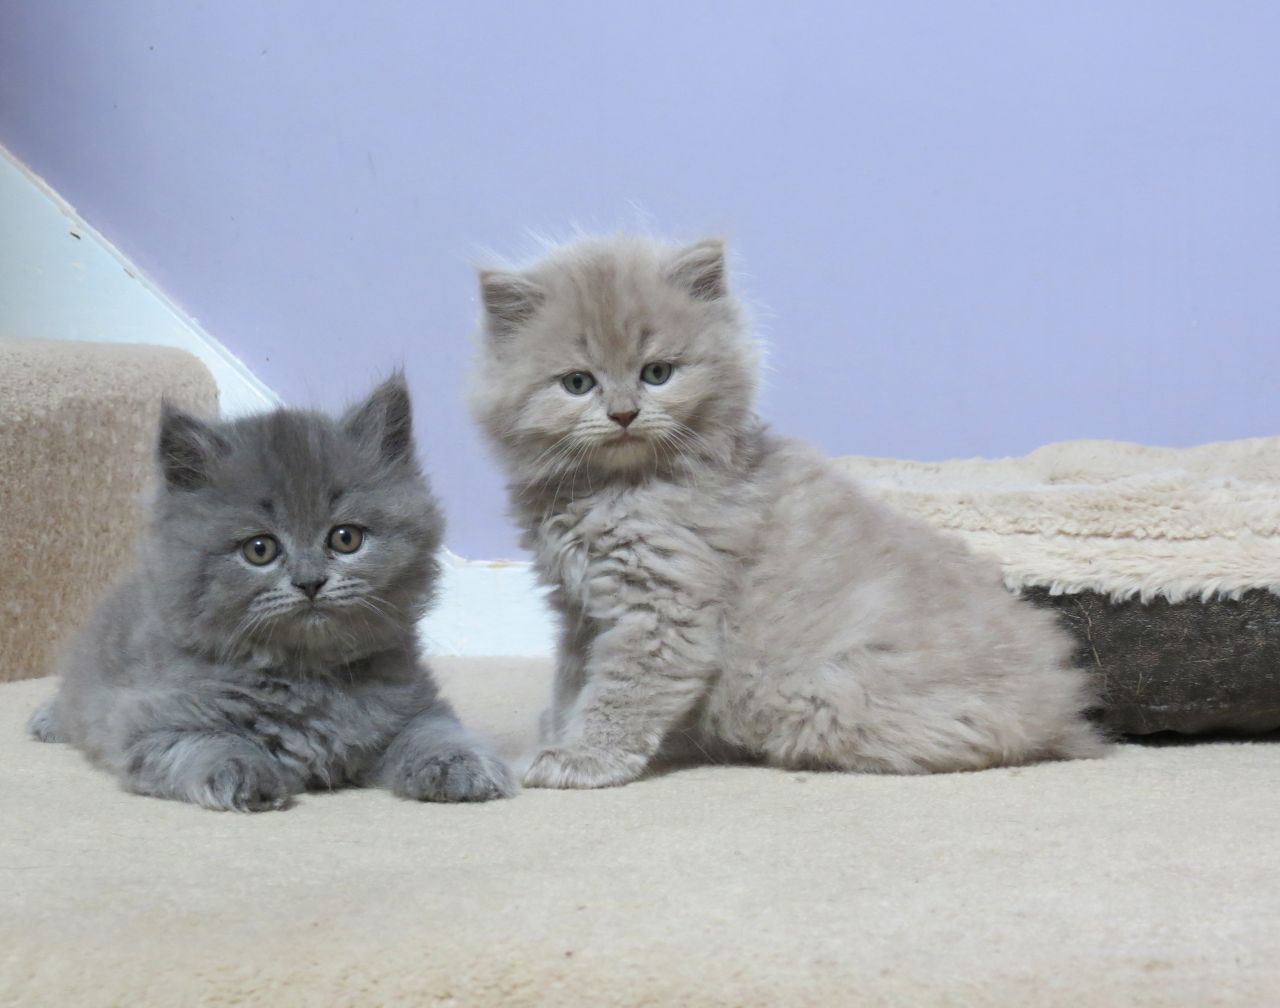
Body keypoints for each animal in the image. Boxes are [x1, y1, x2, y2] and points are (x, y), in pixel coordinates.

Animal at [26, 378, 514, 813]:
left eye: (346, 539)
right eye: (259, 549)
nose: (310, 581)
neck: (307, 676)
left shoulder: (414, 705)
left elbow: (433, 731)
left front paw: (459, 765)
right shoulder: (148, 726)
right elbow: (209, 742)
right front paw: (244, 773)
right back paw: (47, 721)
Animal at [465, 236, 1105, 787]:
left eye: (657, 373)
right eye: (578, 383)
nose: (623, 414)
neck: (618, 489)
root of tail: (1064, 710)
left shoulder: (663, 608)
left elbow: (619, 692)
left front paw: (580, 758)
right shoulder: (578, 609)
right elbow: (571, 682)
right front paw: (552, 736)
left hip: (817, 697)